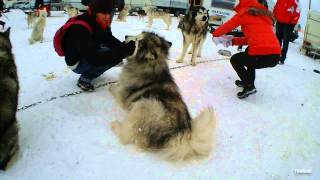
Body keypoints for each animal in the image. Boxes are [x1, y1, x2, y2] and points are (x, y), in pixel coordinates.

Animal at [109, 31, 216, 161]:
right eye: (139, 35)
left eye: (138, 40)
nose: (125, 36)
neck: (151, 65)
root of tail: (179, 136)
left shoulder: (123, 97)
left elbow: (115, 89)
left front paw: (110, 86)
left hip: (145, 103)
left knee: (128, 136)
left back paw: (115, 125)